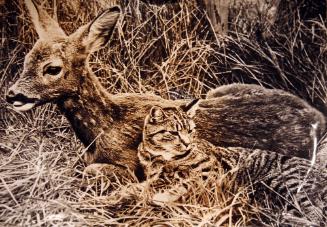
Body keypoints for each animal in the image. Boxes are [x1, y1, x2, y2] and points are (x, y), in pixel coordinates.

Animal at [5, 0, 327, 181]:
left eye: (52, 68)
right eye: (26, 60)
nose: (12, 95)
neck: (102, 129)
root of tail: (319, 117)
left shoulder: (130, 165)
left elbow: (94, 171)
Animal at [140, 100, 327, 225]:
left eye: (190, 131)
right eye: (173, 133)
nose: (187, 143)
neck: (162, 157)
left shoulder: (209, 170)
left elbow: (187, 183)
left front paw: (163, 196)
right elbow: (153, 182)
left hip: (289, 182)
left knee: (314, 211)